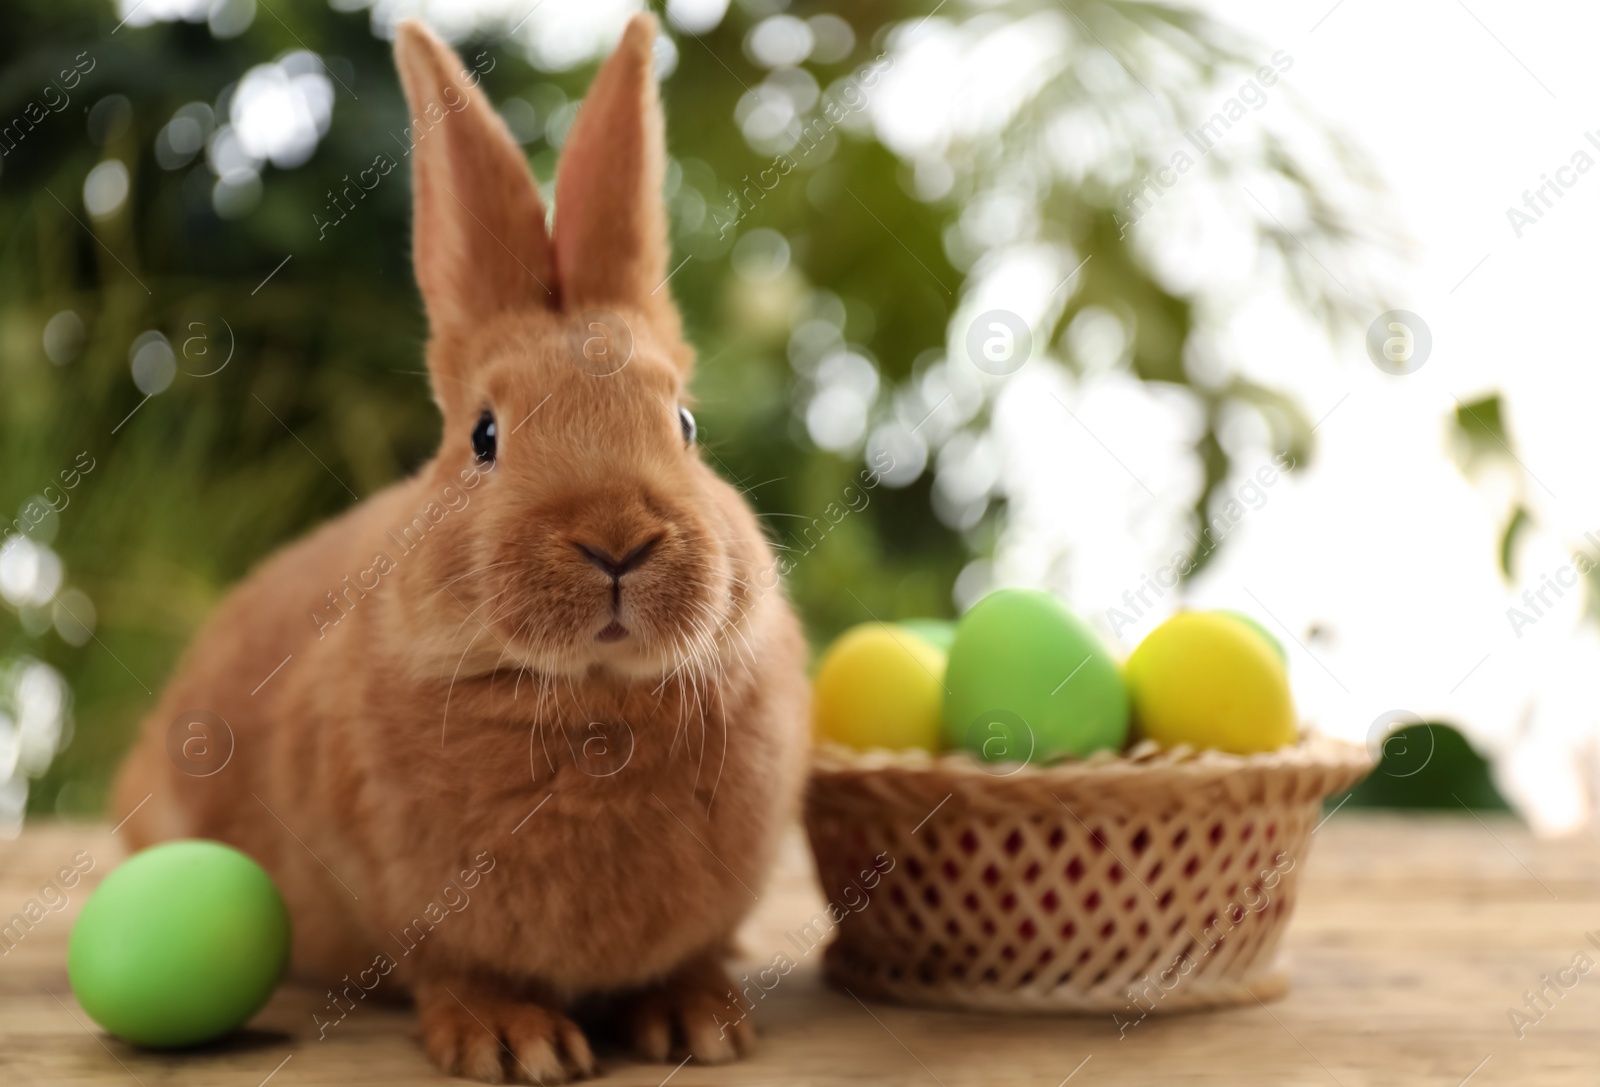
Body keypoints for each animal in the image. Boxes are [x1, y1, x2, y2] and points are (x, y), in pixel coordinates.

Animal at [109, 12, 812, 1082]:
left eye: (686, 424)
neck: (591, 702)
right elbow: (458, 971)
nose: (617, 539)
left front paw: (703, 1024)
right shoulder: (416, 913)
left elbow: (684, 960)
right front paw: (515, 1043)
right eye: (485, 436)